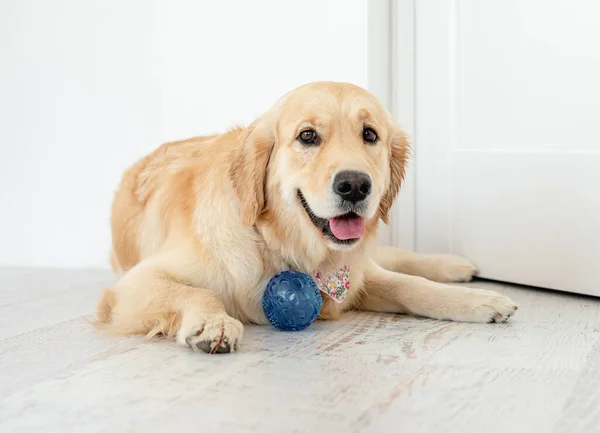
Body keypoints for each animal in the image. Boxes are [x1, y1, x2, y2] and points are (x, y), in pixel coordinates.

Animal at [96, 82, 516, 354]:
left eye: (370, 134)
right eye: (308, 136)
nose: (354, 185)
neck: (280, 244)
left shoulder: (353, 275)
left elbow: (409, 285)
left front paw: (478, 302)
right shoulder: (133, 283)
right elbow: (198, 291)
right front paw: (213, 323)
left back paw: (455, 266)